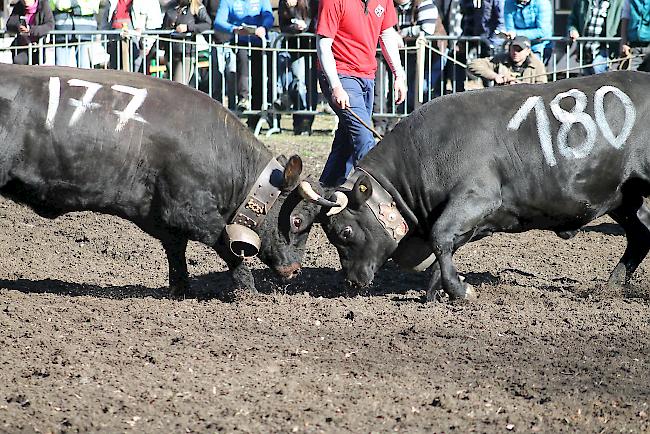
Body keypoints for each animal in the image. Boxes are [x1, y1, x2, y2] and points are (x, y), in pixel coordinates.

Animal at [0, 63, 322, 298]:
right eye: (297, 221)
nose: (295, 269)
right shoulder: (192, 213)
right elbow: (228, 247)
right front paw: (249, 294)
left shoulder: (162, 218)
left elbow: (177, 254)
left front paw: (180, 291)